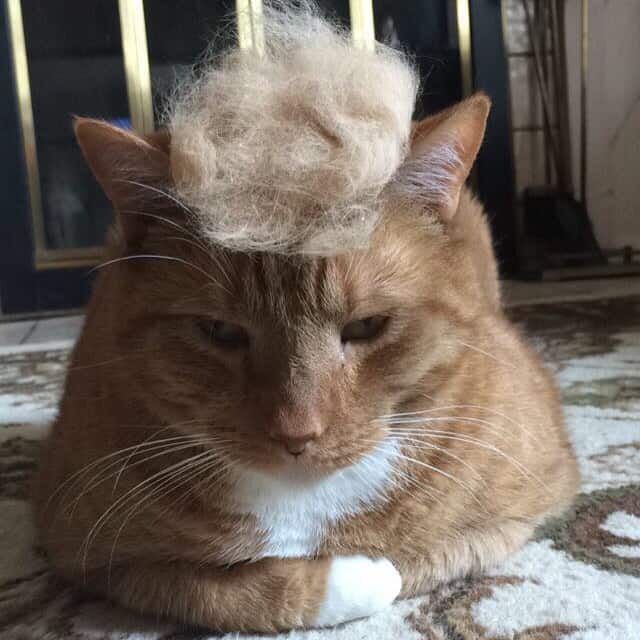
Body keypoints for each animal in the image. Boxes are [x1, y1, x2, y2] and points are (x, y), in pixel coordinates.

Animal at [33, 6, 580, 636]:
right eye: (221, 332)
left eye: (366, 326)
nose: (297, 434)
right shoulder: (86, 554)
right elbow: (222, 591)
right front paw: (347, 576)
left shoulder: (527, 504)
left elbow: (425, 554)